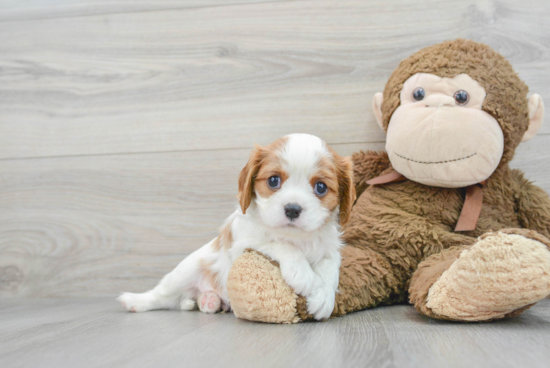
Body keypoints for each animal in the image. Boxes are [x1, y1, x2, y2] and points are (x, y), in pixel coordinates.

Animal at [118, 134, 356, 320]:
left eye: (321, 187)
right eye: (273, 181)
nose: (292, 209)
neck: (296, 237)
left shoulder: (329, 247)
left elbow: (330, 266)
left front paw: (324, 297)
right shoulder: (244, 243)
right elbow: (281, 245)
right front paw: (303, 275)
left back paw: (209, 301)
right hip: (186, 271)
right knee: (163, 296)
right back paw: (134, 301)